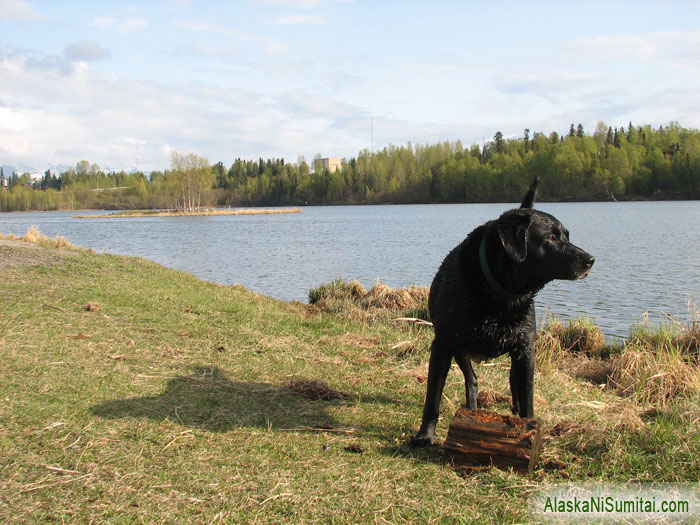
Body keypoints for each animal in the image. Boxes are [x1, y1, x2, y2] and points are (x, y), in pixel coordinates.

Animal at [412, 177, 592, 446]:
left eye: (567, 236)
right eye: (550, 237)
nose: (590, 259)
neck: (500, 296)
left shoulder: (525, 348)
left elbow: (528, 397)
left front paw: (529, 429)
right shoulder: (443, 345)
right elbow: (432, 397)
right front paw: (425, 436)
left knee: (512, 383)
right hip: (460, 350)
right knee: (472, 380)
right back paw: (472, 409)